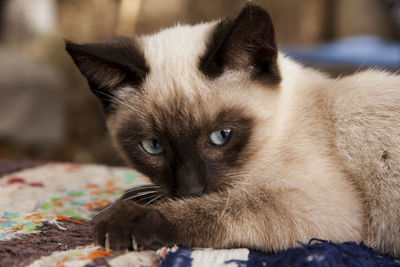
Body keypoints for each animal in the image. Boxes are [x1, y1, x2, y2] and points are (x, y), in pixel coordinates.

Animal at [65, 2, 400, 258]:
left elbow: (221, 207)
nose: (190, 189)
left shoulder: (325, 208)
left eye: (221, 137)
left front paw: (127, 218)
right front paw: (133, 198)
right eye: (152, 146)